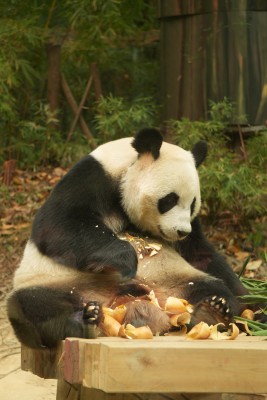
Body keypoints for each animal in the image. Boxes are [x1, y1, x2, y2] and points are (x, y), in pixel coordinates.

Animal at [6, 127, 249, 346]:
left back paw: (211, 312)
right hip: (57, 282)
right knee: (34, 306)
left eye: (192, 204)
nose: (181, 232)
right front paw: (126, 261)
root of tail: (128, 307)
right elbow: (58, 224)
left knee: (213, 288)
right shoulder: (91, 179)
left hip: (177, 280)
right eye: (170, 199)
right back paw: (83, 320)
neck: (127, 168)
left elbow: (201, 254)